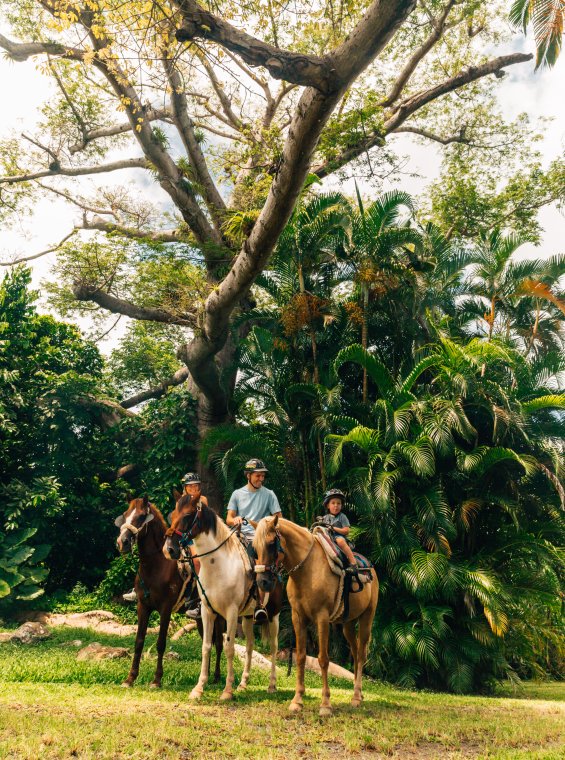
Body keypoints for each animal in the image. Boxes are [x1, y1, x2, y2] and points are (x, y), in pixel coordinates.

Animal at [114, 496, 223, 684]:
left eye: (141, 517)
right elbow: (139, 641)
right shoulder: (143, 606)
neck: (156, 565)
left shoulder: (165, 609)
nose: (123, 542)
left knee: (220, 643)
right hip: (201, 618)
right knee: (207, 641)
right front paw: (130, 678)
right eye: (126, 515)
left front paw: (157, 679)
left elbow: (161, 643)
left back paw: (216, 677)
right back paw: (206, 677)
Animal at [163, 496, 282, 704]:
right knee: (250, 646)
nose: (169, 549)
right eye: (173, 514)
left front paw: (227, 690)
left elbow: (229, 647)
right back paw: (243, 684)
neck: (218, 565)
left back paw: (271, 685)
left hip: (274, 615)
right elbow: (206, 647)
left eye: (187, 515)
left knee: (274, 647)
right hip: (248, 617)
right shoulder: (207, 611)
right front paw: (198, 688)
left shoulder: (231, 613)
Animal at [252, 512, 376, 716]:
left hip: (367, 618)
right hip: (347, 625)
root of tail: (370, 566)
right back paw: (358, 694)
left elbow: (323, 659)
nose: (262, 582)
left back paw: (357, 697)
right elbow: (301, 657)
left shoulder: (322, 618)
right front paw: (297, 700)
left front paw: (325, 704)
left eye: (271, 543)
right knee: (356, 651)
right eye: (254, 548)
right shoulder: (298, 618)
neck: (307, 569)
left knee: (361, 655)